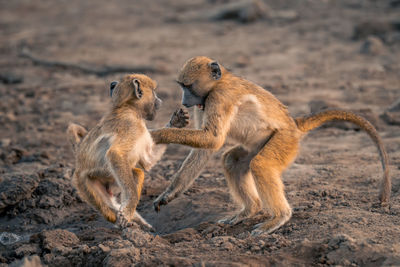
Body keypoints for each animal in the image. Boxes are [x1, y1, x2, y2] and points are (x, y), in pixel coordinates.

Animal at [67, 74, 189, 231]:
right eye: (154, 92)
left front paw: (176, 122)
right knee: (109, 204)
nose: (160, 101)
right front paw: (126, 211)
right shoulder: (130, 126)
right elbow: (115, 154)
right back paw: (122, 222)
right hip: (84, 183)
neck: (130, 110)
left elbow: (147, 161)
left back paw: (138, 222)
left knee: (137, 173)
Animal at [151, 56, 390, 234]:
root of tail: (293, 124)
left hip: (284, 140)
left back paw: (279, 218)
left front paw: (158, 134)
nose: (184, 101)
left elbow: (213, 139)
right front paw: (168, 194)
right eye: (182, 87)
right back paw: (249, 210)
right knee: (232, 161)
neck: (219, 82)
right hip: (260, 144)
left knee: (261, 165)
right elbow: (208, 148)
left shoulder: (219, 97)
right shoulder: (204, 103)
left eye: (189, 86)